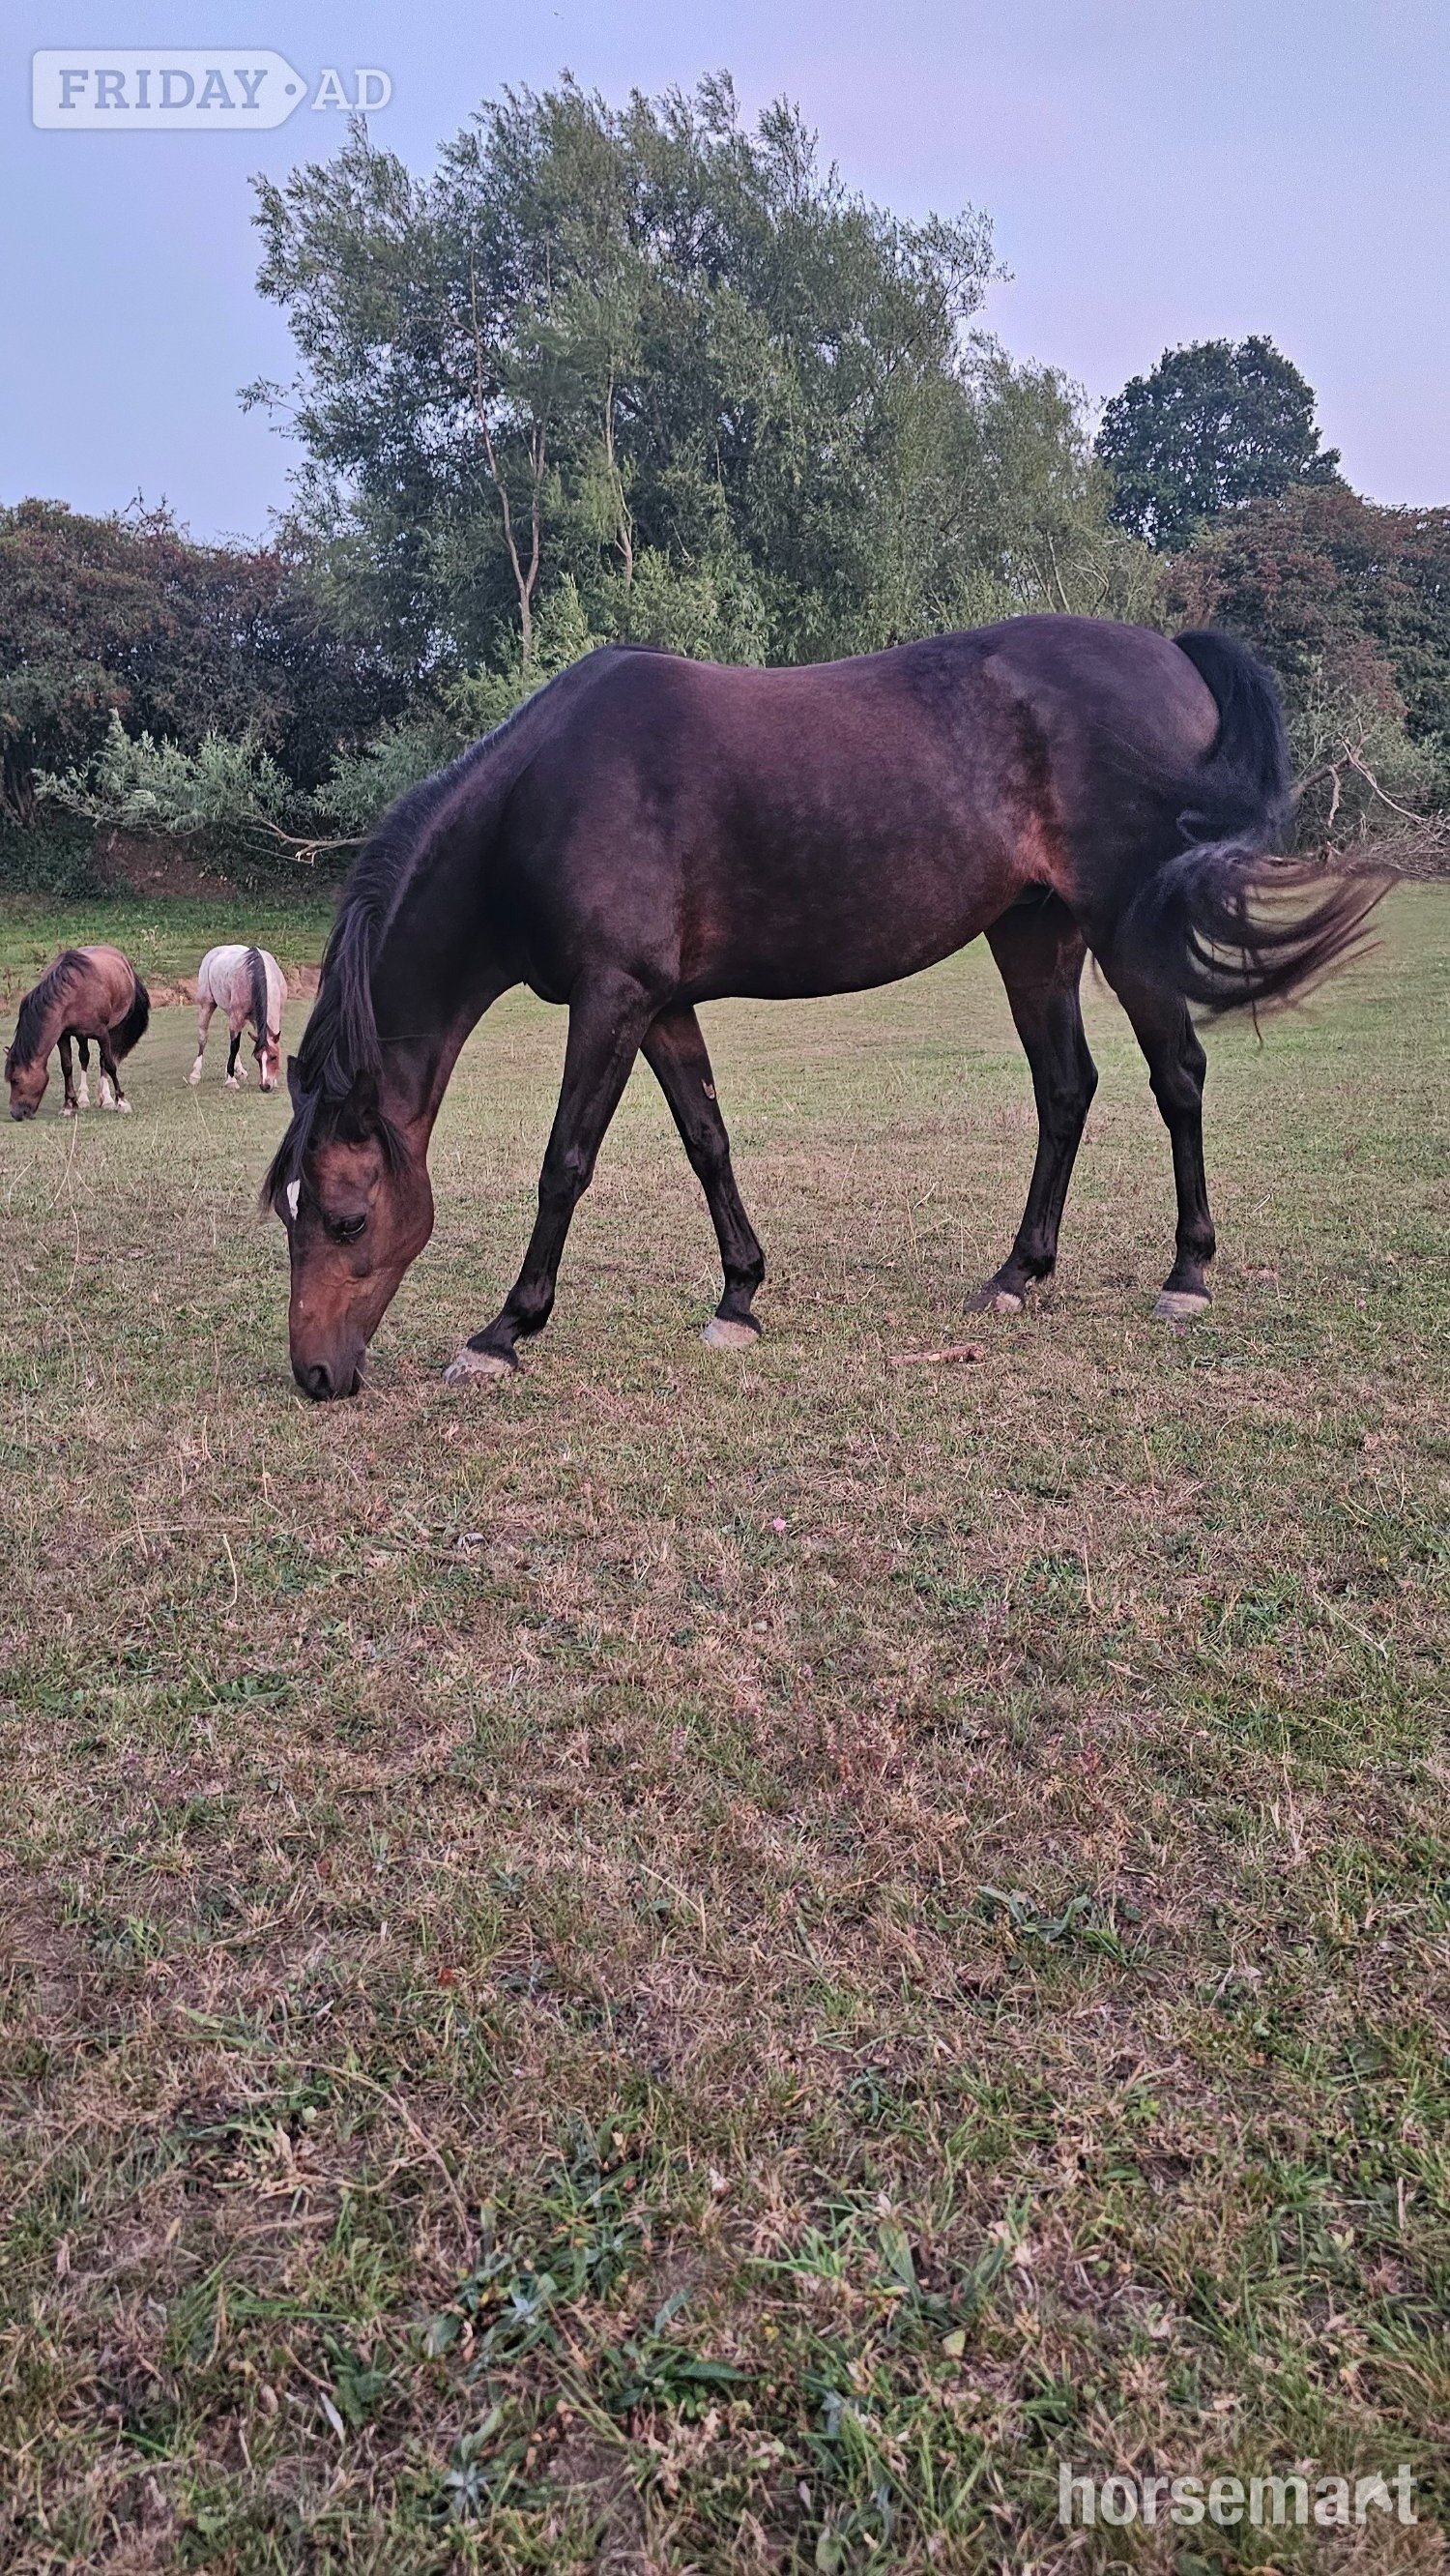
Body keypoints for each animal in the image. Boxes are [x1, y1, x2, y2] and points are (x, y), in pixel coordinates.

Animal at [5, 946, 150, 1120]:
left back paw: (107, 1099)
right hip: (82, 1035)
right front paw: (69, 1105)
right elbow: (67, 1067)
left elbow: (110, 1065)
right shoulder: (63, 1036)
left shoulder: (102, 1034)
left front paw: (121, 1102)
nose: (15, 1113)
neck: (71, 994)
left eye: (15, 1080)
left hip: (111, 1029)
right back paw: (83, 1099)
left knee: (104, 1060)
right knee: (84, 1057)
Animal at [190, 945, 286, 1091]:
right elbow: (234, 1046)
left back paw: (239, 1071)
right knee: (203, 1037)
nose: (265, 1086)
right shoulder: (237, 1015)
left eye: (274, 1057)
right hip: (207, 1005)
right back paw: (195, 1074)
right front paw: (231, 1079)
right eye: (257, 1058)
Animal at [262, 615, 1385, 1402]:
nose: (315, 1375)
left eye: (346, 1216)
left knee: (1177, 1078)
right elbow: (708, 1141)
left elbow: (564, 1164)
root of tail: (1173, 656)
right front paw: (739, 1297)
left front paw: (503, 1332)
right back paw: (1017, 1274)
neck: (543, 800)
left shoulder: (612, 997)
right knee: (1067, 1089)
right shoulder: (661, 1005)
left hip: (1126, 924)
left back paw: (1188, 1274)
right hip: (1035, 935)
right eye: (289, 1213)